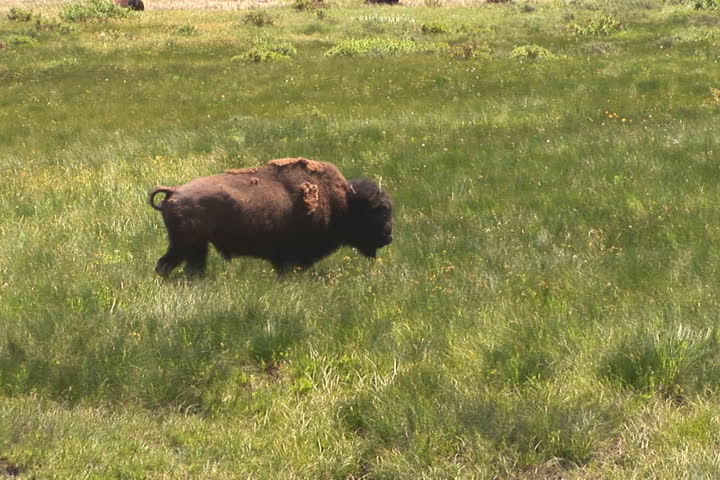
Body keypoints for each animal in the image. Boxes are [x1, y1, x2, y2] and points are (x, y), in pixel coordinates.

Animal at [149, 157, 393, 276]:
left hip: (194, 247)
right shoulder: (293, 256)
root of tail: (174, 192)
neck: (342, 202)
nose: (389, 237)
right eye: (379, 211)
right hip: (187, 245)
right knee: (170, 265)